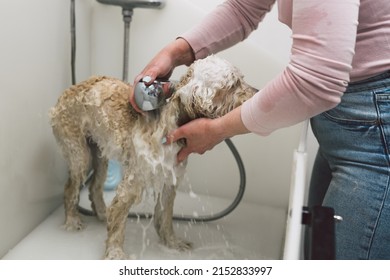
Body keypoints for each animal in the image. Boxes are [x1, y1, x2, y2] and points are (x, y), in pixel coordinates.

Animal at [49, 55, 256, 260]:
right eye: (234, 84)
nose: (256, 92)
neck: (168, 126)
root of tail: (70, 89)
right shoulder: (131, 184)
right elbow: (118, 220)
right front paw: (115, 253)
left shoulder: (170, 181)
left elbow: (165, 218)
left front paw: (172, 243)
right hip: (79, 153)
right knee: (69, 189)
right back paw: (72, 220)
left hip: (99, 154)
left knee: (94, 187)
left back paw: (101, 213)